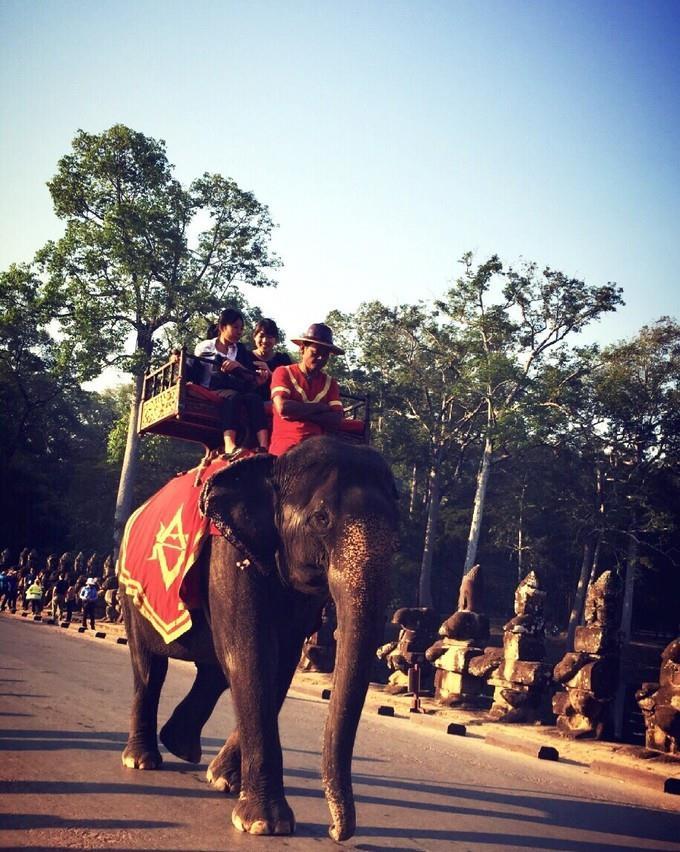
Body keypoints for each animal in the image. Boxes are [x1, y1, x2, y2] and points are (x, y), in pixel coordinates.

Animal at [120, 436, 402, 844]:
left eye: (398, 539)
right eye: (321, 519)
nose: (336, 831)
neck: (273, 465)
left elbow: (279, 663)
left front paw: (225, 782)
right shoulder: (228, 554)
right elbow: (251, 655)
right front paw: (265, 824)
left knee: (213, 671)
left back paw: (182, 746)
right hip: (129, 590)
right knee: (149, 669)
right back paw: (142, 760)